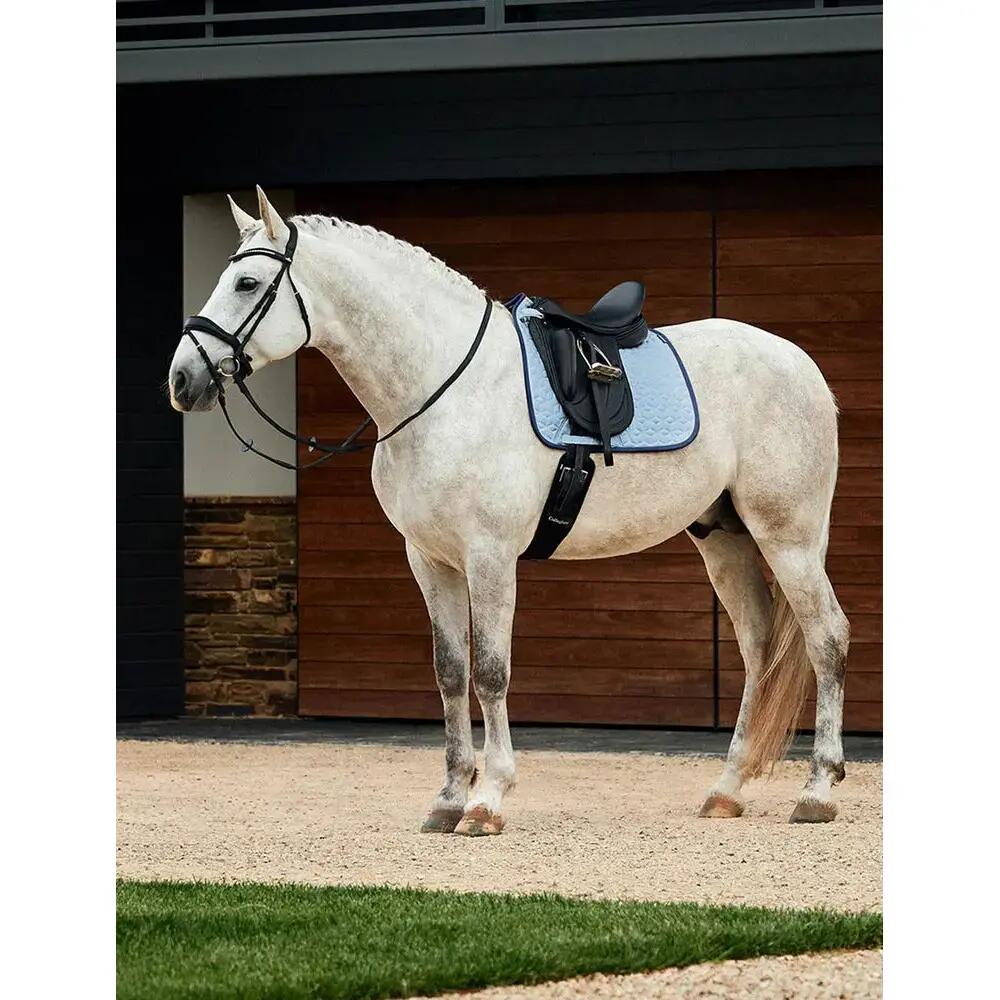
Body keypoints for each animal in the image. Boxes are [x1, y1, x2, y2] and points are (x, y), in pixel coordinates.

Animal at [168, 186, 850, 834]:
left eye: (247, 283)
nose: (181, 381)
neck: (442, 389)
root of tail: (803, 366)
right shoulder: (431, 562)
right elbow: (450, 674)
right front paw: (447, 800)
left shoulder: (490, 557)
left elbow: (491, 672)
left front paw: (488, 800)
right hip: (724, 539)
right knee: (759, 649)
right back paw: (726, 791)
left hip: (789, 539)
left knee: (827, 638)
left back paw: (817, 791)